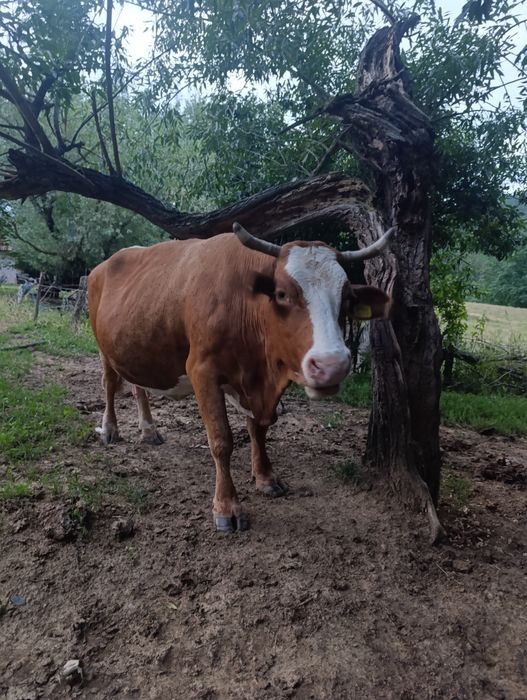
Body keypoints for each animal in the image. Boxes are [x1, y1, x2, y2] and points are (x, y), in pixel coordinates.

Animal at [87, 223, 393, 532]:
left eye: (348, 299)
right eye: (281, 294)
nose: (332, 365)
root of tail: (104, 265)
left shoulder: (256, 381)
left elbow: (258, 429)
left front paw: (266, 477)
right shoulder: (202, 371)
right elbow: (221, 440)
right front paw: (227, 507)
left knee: (138, 387)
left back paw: (149, 430)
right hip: (103, 347)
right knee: (110, 384)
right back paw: (110, 429)